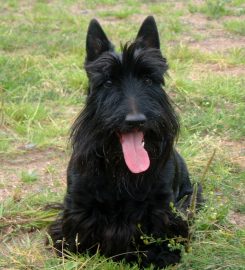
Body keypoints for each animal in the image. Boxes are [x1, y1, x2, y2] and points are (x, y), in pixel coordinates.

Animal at [48, 16, 203, 268]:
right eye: (108, 82)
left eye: (148, 79)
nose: (135, 120)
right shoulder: (78, 204)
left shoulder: (162, 208)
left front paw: (161, 255)